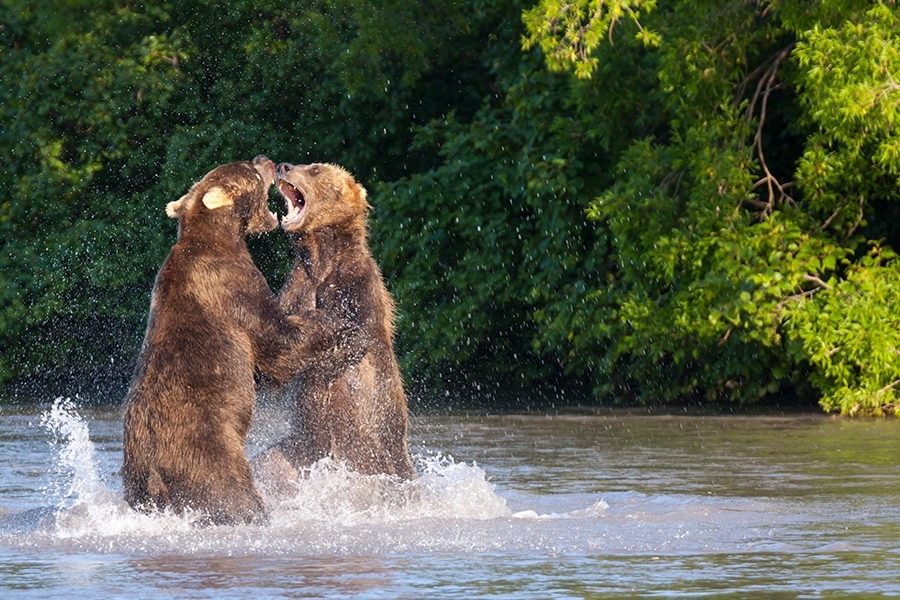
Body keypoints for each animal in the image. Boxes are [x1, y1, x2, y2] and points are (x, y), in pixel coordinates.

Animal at [123, 156, 362, 524]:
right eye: (249, 170)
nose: (266, 160)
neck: (220, 237)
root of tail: (153, 472)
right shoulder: (233, 286)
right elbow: (278, 344)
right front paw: (339, 321)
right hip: (210, 455)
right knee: (232, 495)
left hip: (135, 482)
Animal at [251, 159, 416, 482]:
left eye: (315, 169)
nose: (284, 165)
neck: (321, 257)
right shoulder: (298, 287)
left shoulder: (357, 286)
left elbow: (352, 337)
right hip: (298, 452)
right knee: (269, 463)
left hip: (374, 452)